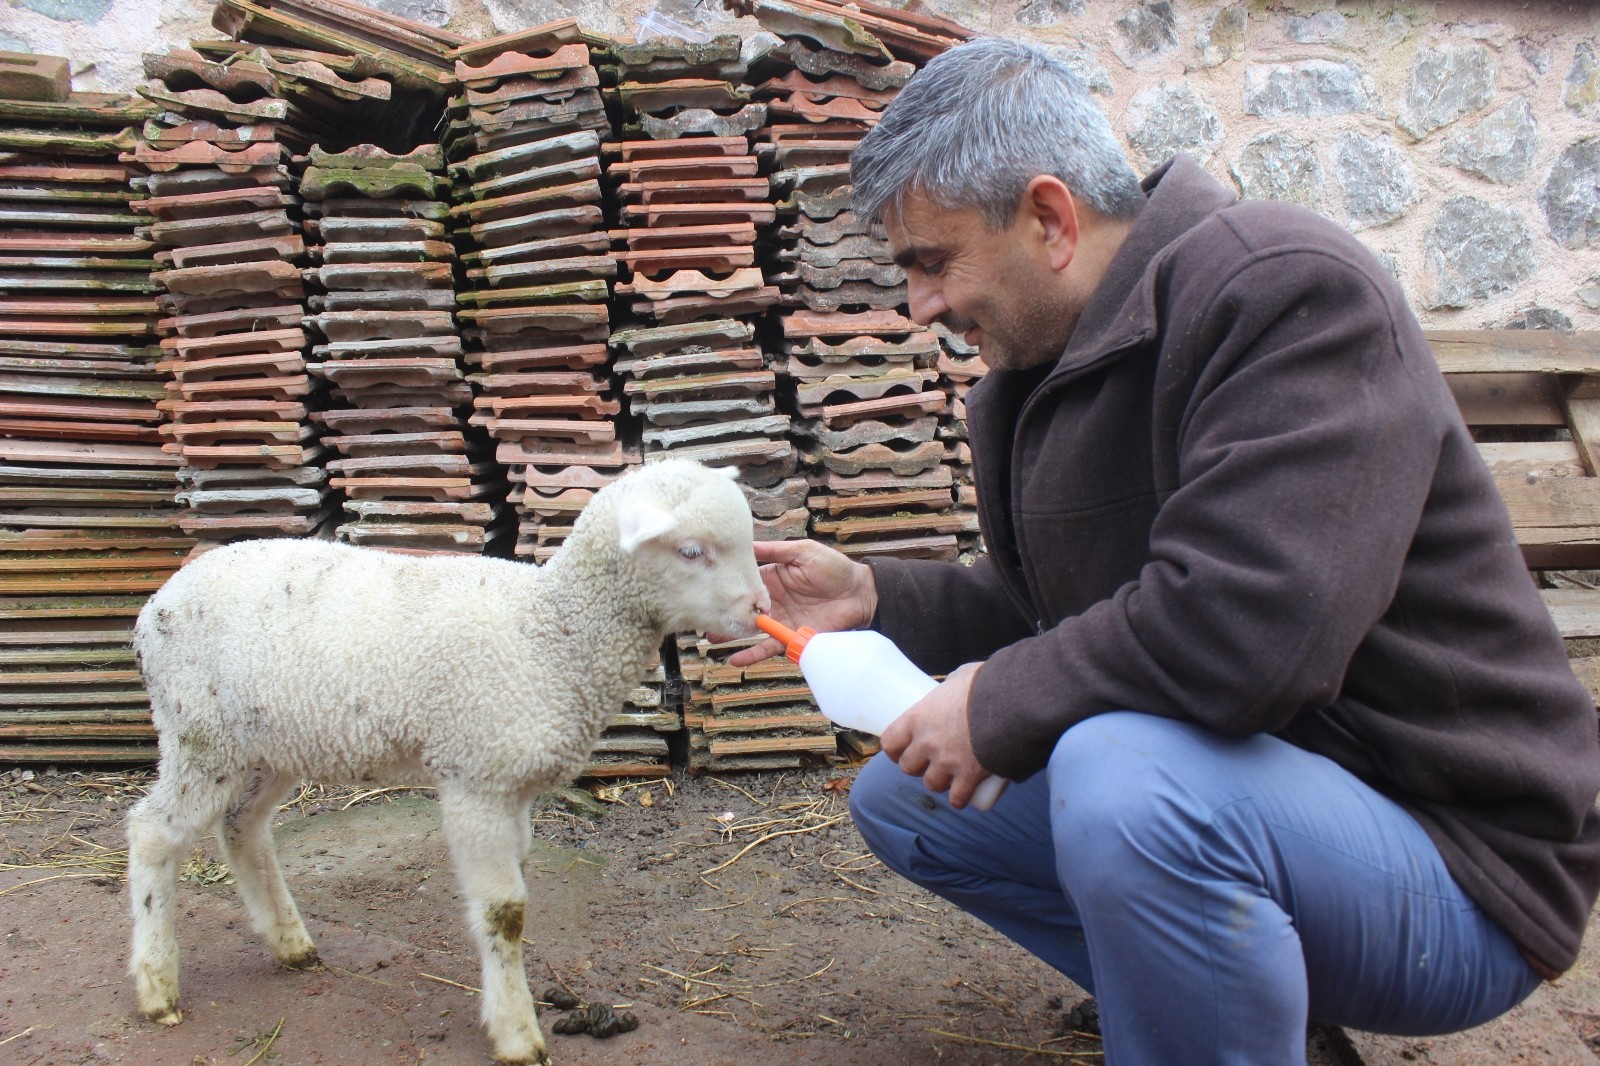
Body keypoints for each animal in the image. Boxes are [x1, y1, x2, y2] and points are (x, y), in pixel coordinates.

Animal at [123, 460, 768, 1062]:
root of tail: (156, 603)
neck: (554, 634)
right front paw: (517, 1033)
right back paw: (157, 985)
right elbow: (506, 912)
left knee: (242, 827)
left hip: (268, 743)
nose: (759, 608)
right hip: (197, 733)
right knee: (154, 832)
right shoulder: (475, 780)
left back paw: (290, 943)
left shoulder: (513, 786)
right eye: (691, 551)